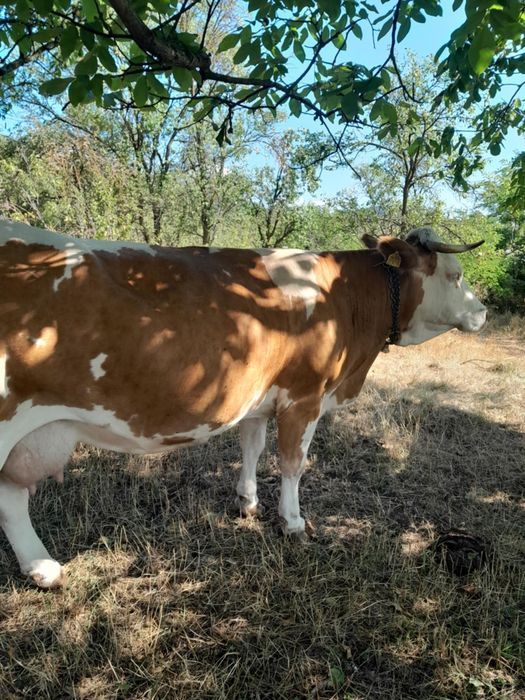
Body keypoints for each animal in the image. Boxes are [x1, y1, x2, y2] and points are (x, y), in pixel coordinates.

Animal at [0, 219, 486, 588]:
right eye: (456, 274)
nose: (483, 312)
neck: (344, 297)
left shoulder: (260, 396)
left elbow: (252, 447)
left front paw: (246, 502)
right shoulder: (304, 396)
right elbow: (293, 462)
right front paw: (293, 522)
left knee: (10, 497)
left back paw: (42, 569)